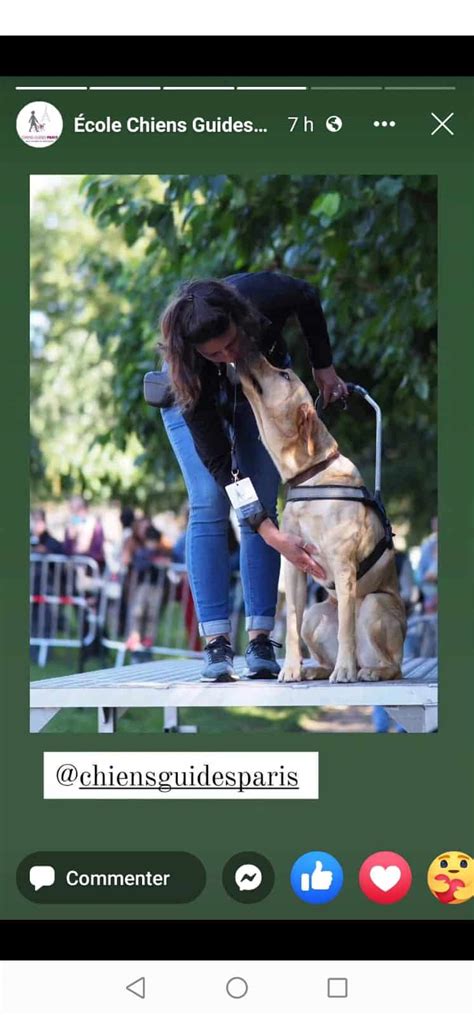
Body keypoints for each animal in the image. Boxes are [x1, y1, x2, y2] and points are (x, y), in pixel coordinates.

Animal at [239, 355, 405, 682]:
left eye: (285, 375)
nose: (249, 353)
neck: (311, 474)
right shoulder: (293, 564)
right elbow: (291, 624)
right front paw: (291, 668)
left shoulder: (343, 566)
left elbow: (346, 629)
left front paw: (344, 670)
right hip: (315, 614)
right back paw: (316, 669)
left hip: (376, 604)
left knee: (393, 665)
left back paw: (366, 671)